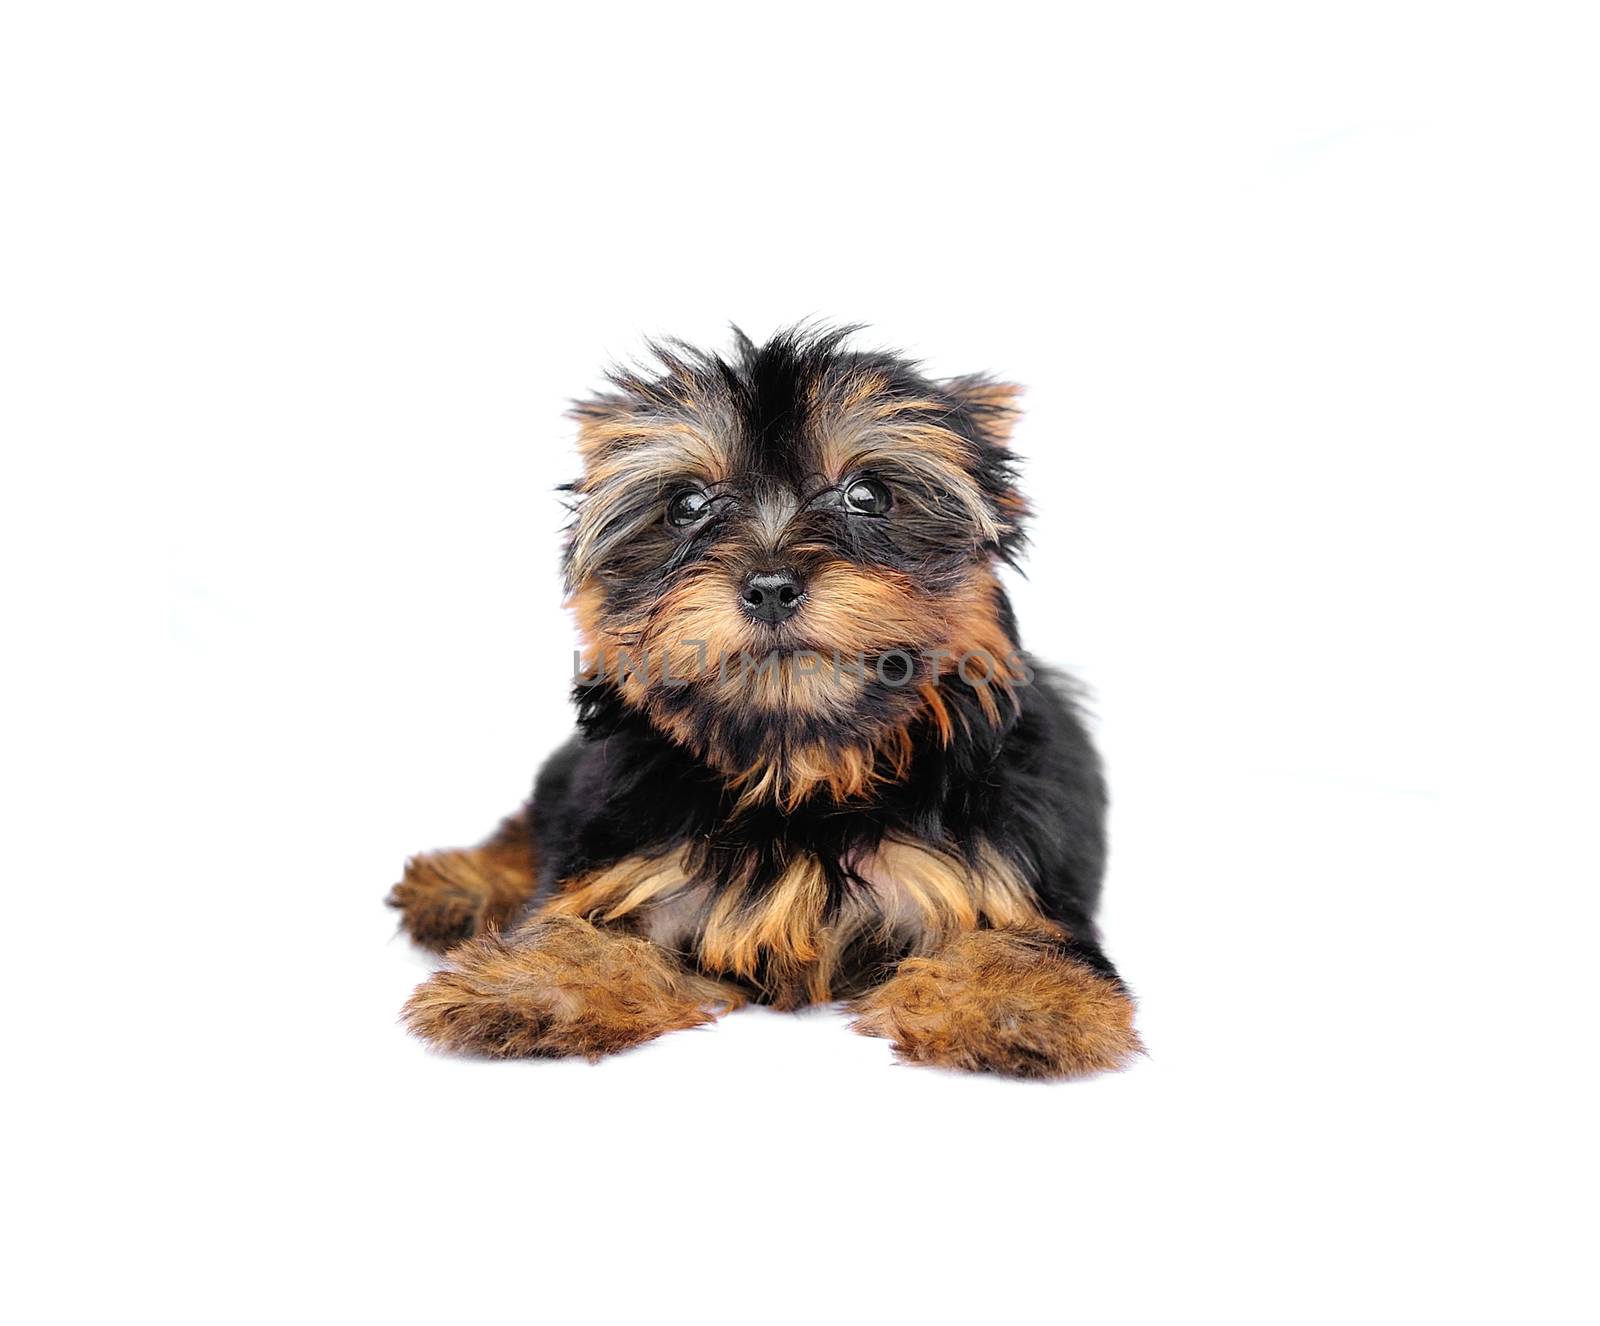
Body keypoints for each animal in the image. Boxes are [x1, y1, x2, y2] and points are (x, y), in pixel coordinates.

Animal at [385, 323, 1139, 1074]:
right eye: (687, 505)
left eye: (868, 496)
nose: (772, 586)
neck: (797, 768)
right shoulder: (634, 860)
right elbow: (583, 923)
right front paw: (529, 984)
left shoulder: (992, 873)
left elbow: (1022, 941)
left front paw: (1018, 1001)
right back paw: (463, 883)